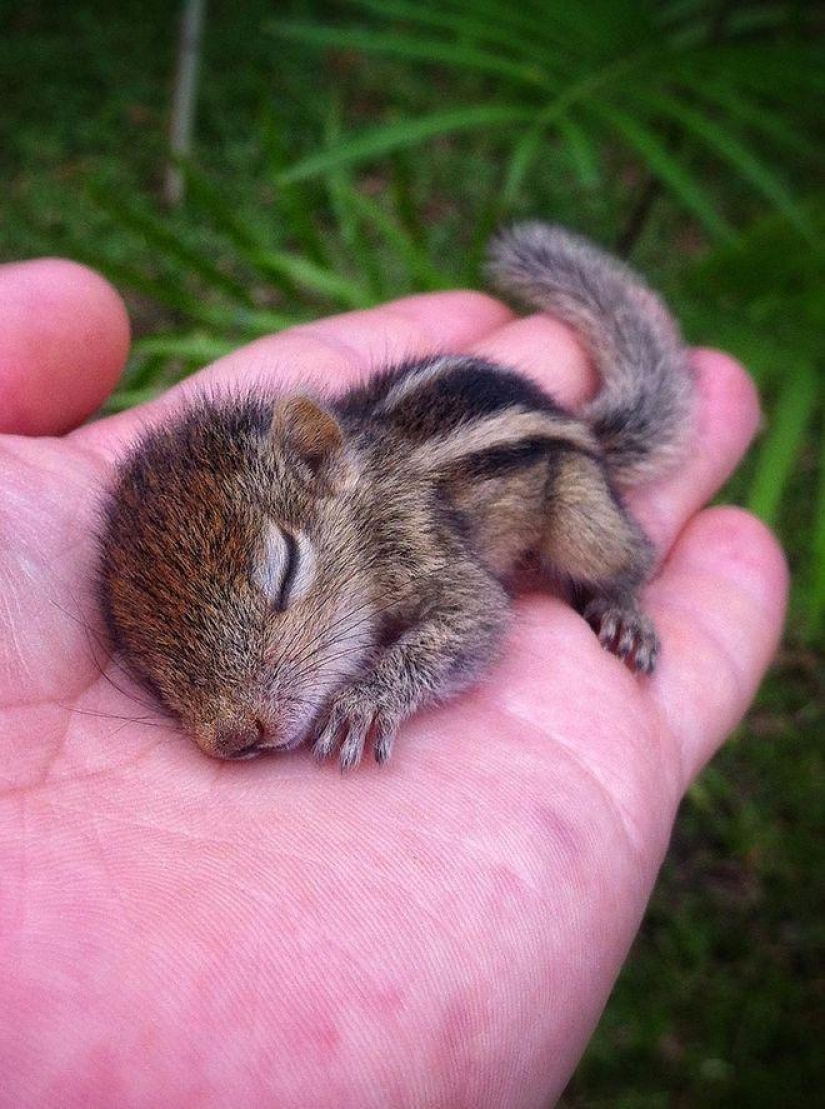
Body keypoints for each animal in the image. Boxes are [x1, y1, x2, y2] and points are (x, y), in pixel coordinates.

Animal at [98, 224, 694, 769]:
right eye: (143, 661)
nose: (235, 737)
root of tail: (579, 423)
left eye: (287, 570)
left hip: (581, 512)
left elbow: (476, 618)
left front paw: (364, 702)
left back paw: (624, 612)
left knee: (629, 556)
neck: (366, 506)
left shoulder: (424, 549)